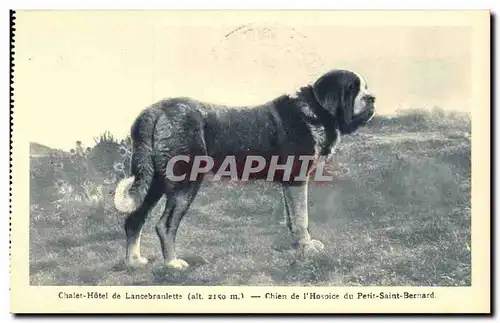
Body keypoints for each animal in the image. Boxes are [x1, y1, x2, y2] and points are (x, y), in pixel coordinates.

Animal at [113, 69, 376, 270]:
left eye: (364, 87)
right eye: (352, 88)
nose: (372, 98)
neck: (314, 112)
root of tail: (156, 111)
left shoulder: (288, 184)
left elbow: (292, 217)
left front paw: (295, 245)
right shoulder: (297, 179)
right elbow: (302, 218)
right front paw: (307, 247)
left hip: (154, 183)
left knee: (134, 220)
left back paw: (134, 261)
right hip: (184, 183)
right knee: (164, 225)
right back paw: (172, 263)